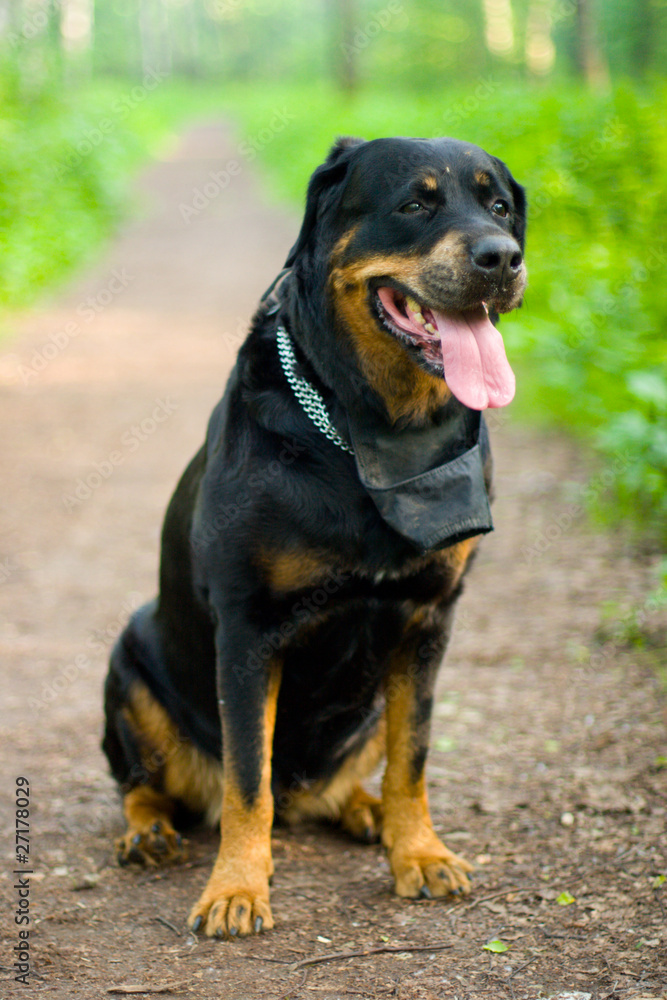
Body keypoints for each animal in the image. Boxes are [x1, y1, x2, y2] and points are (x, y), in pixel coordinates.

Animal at [102, 137, 528, 940]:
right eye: (415, 203)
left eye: (499, 207)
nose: (502, 257)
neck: (373, 434)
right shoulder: (248, 628)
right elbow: (247, 778)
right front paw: (236, 888)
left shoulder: (427, 621)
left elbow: (412, 757)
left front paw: (418, 852)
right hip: (130, 661)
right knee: (149, 785)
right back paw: (149, 832)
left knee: (360, 770)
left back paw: (367, 813)